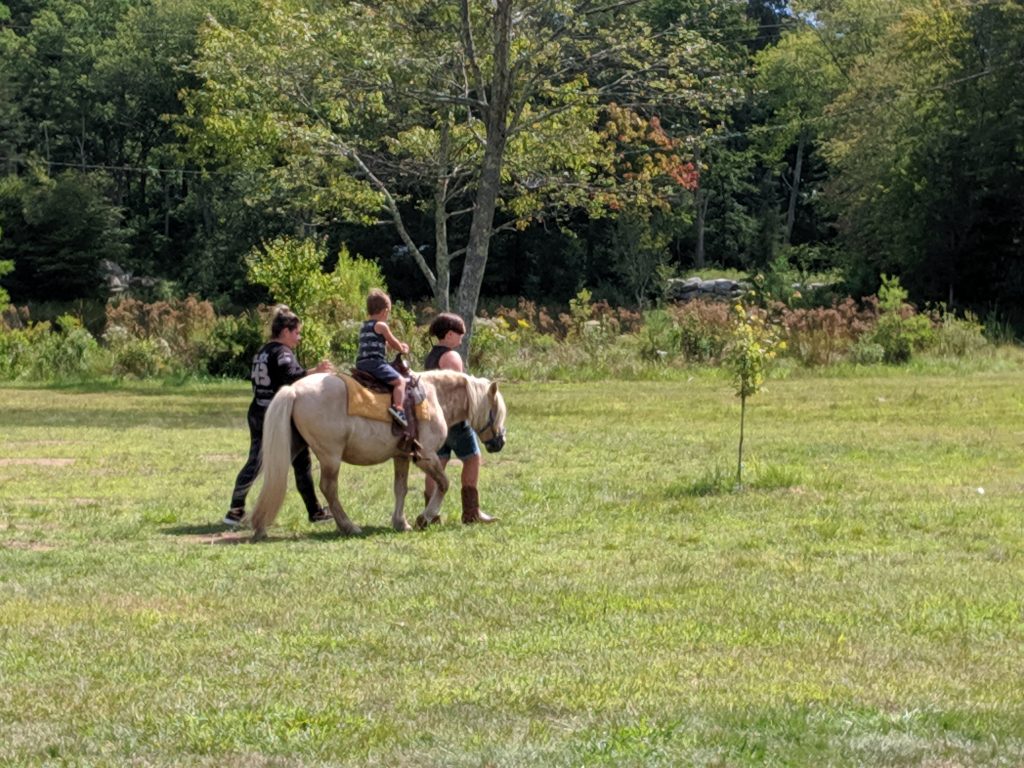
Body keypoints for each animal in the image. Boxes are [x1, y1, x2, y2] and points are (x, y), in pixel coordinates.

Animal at [251, 368, 507, 540]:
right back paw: (348, 526)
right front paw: (425, 517)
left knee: (273, 479)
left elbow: (401, 488)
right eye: (495, 410)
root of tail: (293, 390)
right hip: (330, 456)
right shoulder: (426, 456)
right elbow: (444, 483)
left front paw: (401, 522)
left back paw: (260, 524)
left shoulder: (402, 456)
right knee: (329, 488)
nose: (500, 442)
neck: (435, 396)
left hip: (293, 447)